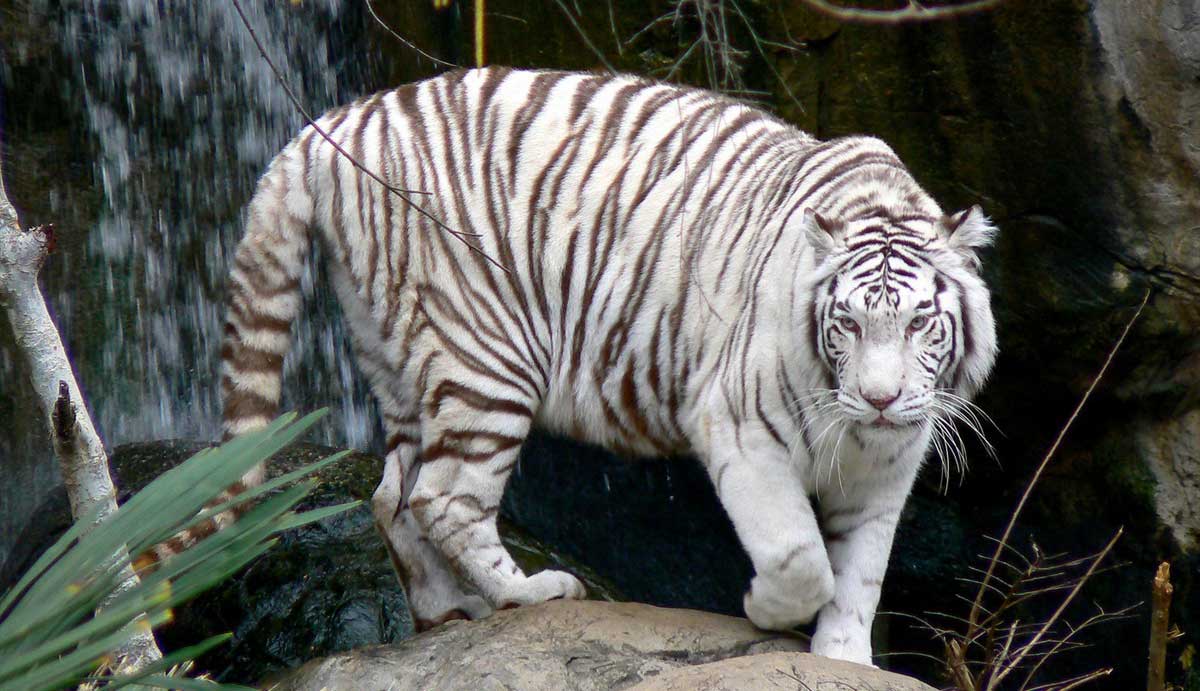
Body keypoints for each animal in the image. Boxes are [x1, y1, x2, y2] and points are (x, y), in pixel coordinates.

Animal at [218, 66, 998, 665]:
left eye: (919, 323)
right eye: (849, 324)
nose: (880, 399)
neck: (860, 433)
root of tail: (339, 122)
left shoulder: (887, 469)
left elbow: (860, 575)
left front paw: (844, 658)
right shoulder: (741, 430)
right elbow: (799, 555)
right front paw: (764, 607)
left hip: (398, 355)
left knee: (393, 494)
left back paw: (450, 612)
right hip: (486, 358)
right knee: (446, 496)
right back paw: (528, 593)